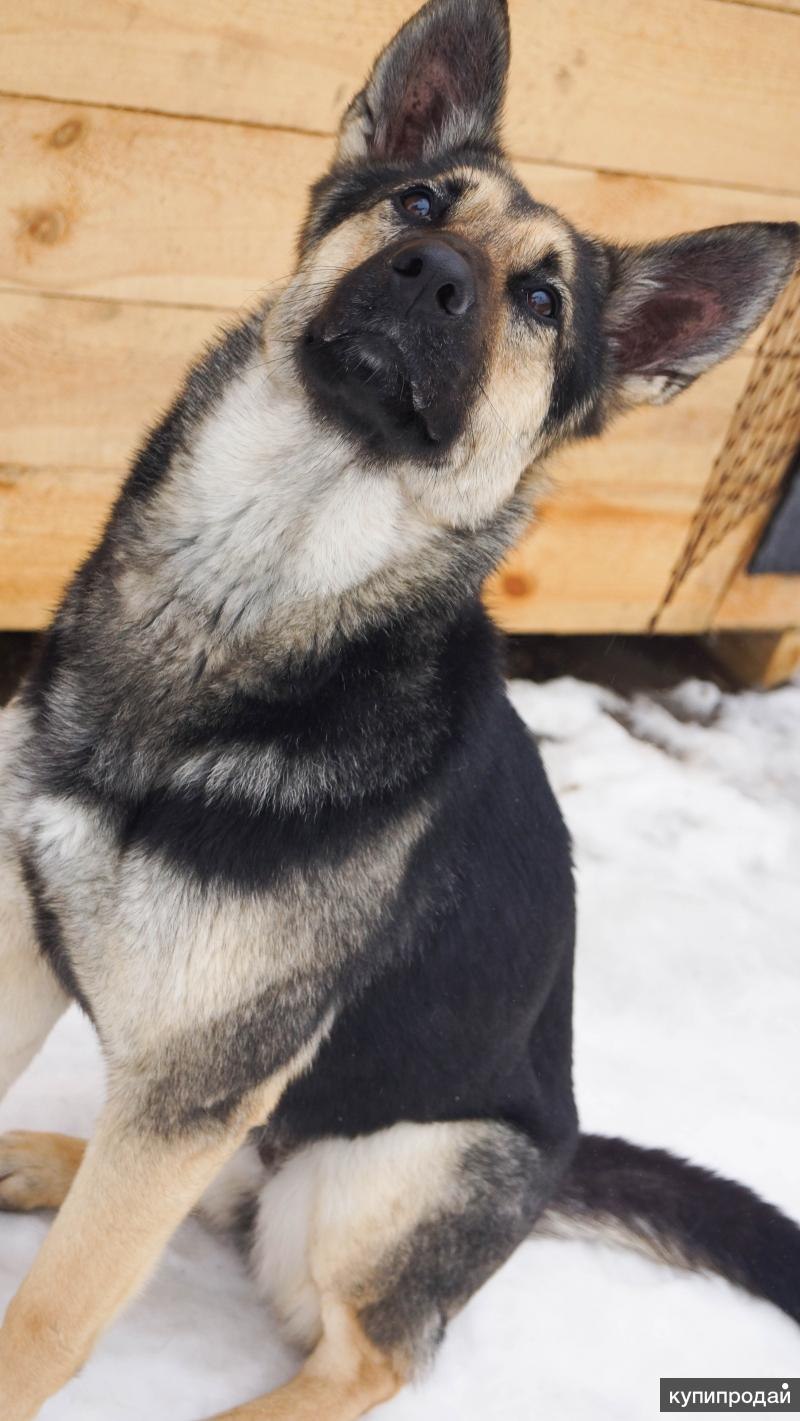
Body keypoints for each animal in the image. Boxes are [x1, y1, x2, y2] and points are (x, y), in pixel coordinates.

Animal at [1, 2, 800, 1421]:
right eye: (418, 202)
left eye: (541, 300)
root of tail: (563, 1152)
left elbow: (51, 1318)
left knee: (370, 1354)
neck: (247, 592)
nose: (430, 274)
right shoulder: (27, 934)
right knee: (189, 1205)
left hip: (393, 1164)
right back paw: (42, 1156)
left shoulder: (201, 1080)